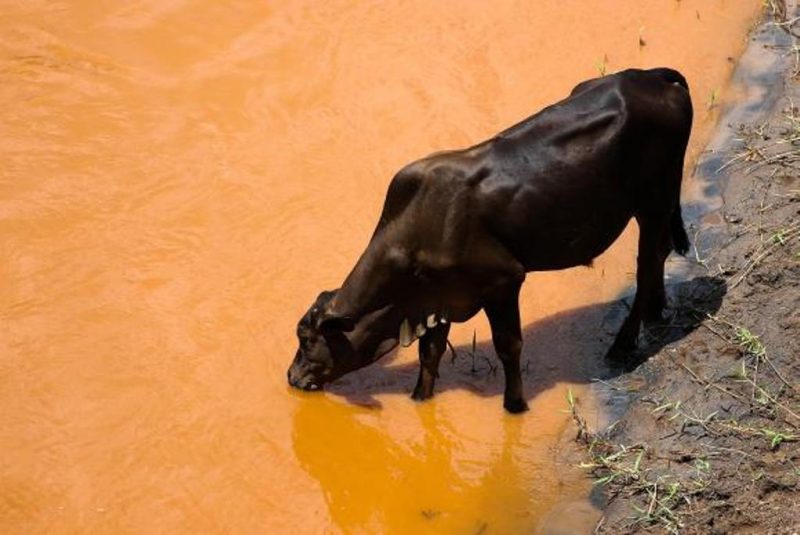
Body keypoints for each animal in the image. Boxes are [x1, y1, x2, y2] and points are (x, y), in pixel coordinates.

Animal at [288, 68, 692, 414]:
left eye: (306, 340)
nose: (292, 376)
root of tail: (651, 76)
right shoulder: (438, 296)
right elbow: (430, 353)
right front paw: (420, 398)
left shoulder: (503, 281)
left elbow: (508, 346)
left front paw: (515, 405)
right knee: (659, 253)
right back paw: (656, 310)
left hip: (654, 199)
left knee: (647, 262)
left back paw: (624, 342)